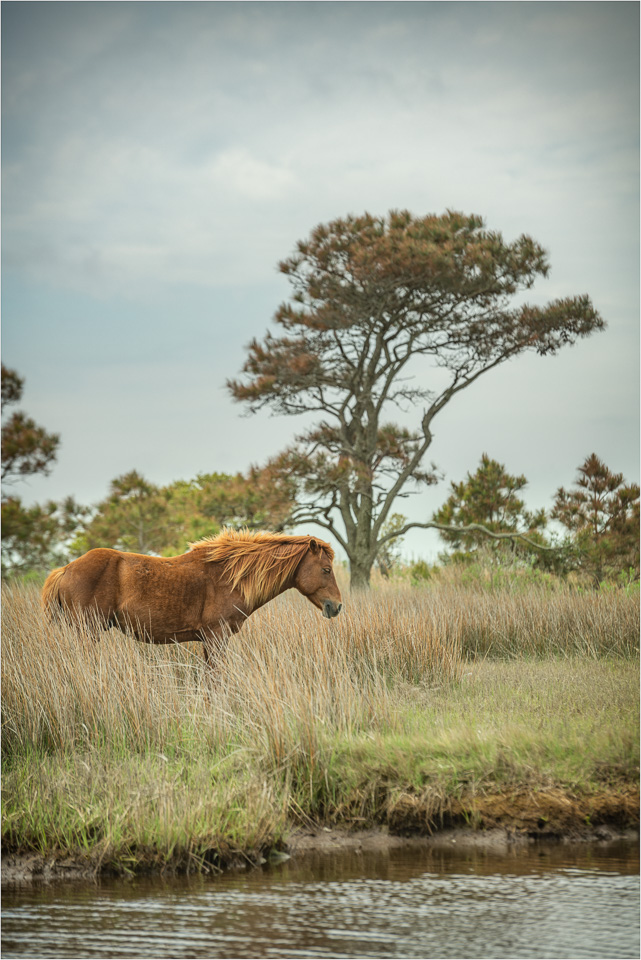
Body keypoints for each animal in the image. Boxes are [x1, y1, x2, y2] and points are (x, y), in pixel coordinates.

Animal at [42, 528, 342, 672]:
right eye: (326, 570)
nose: (337, 606)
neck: (230, 575)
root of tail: (66, 569)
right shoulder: (216, 637)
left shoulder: (211, 640)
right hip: (88, 631)